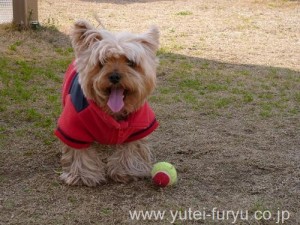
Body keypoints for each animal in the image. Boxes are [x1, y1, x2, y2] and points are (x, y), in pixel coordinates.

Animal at [53, 19, 159, 186]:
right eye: (102, 62)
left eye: (130, 62)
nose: (114, 76)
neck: (112, 112)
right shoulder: (73, 127)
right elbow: (79, 151)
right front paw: (82, 175)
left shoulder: (139, 125)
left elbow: (130, 147)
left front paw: (126, 170)